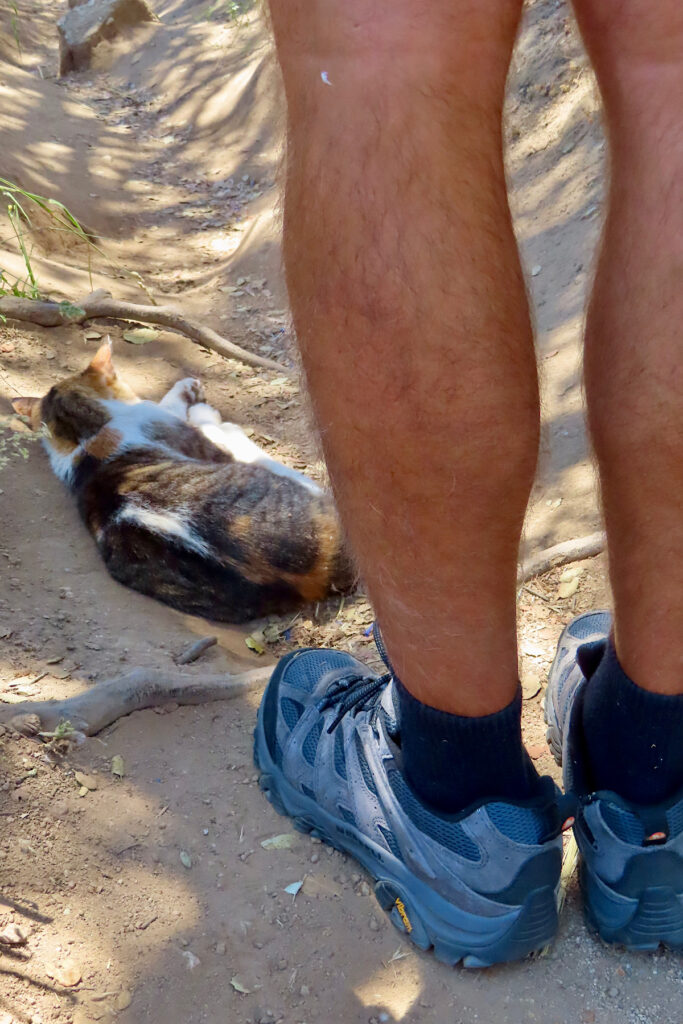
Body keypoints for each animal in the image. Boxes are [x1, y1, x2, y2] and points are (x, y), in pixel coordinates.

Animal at [12, 339, 358, 618]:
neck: (87, 434)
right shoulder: (168, 423)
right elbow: (174, 407)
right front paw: (192, 394)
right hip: (297, 483)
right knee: (242, 445)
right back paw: (215, 419)